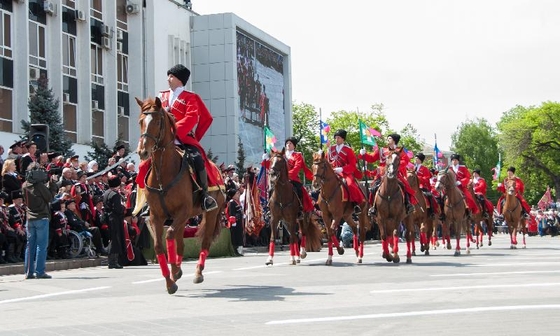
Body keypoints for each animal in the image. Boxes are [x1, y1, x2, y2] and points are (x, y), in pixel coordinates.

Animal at [135, 96, 224, 294]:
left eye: (157, 121)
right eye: (140, 121)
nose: (143, 152)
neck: (163, 173)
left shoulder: (182, 211)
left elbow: (169, 237)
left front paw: (175, 271)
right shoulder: (156, 216)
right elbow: (159, 245)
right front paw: (170, 280)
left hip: (210, 214)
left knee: (205, 242)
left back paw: (197, 273)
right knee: (181, 243)